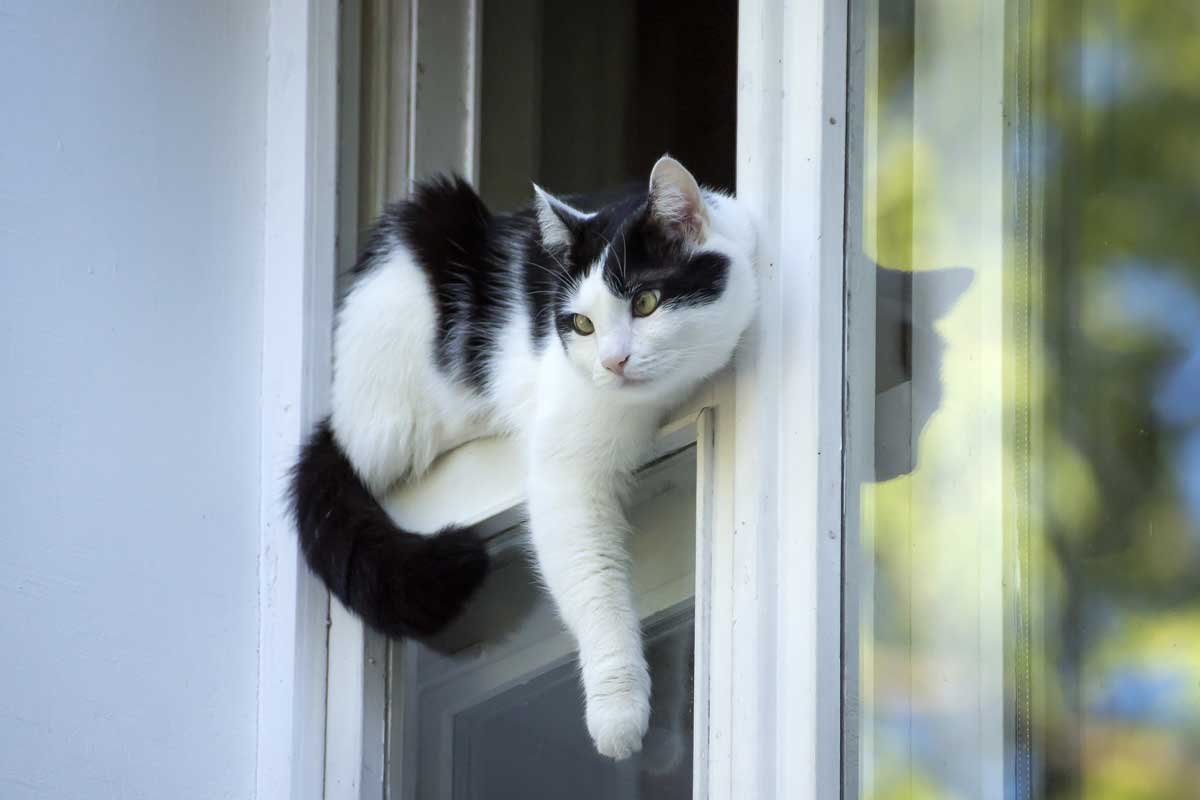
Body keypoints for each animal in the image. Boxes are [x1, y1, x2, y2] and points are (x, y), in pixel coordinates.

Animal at [289, 154, 753, 758]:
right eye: (582, 324)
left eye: (646, 303)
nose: (612, 362)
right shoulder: (565, 470)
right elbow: (591, 581)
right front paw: (617, 711)